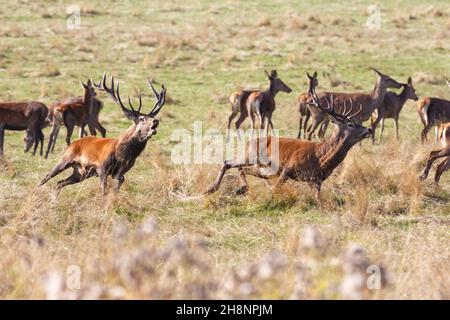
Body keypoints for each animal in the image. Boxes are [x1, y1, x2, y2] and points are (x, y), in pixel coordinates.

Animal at [37, 74, 166, 195]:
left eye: (151, 117)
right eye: (141, 118)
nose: (155, 121)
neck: (124, 154)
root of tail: (72, 144)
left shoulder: (120, 172)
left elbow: (117, 186)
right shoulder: (102, 168)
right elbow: (103, 190)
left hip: (81, 172)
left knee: (60, 182)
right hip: (65, 159)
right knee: (46, 177)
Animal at [206, 79, 370, 202]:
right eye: (350, 124)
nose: (369, 130)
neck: (320, 159)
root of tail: (249, 142)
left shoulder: (316, 180)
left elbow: (319, 200)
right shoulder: (288, 168)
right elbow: (276, 190)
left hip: (262, 167)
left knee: (242, 168)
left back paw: (240, 188)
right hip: (250, 156)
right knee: (228, 163)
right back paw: (212, 189)